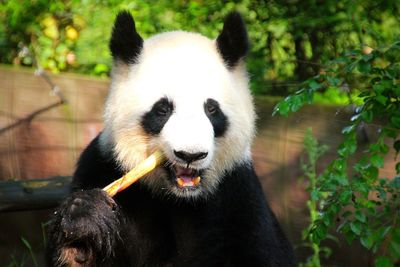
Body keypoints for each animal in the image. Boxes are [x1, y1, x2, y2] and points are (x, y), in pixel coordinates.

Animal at [47, 11, 296, 267]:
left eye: (211, 109)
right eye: (162, 109)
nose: (190, 155)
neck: (178, 198)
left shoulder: (236, 191)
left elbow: (262, 251)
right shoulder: (103, 165)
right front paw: (84, 221)